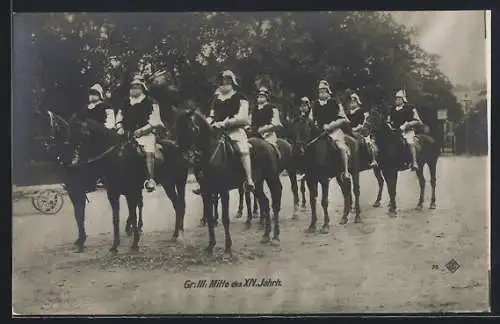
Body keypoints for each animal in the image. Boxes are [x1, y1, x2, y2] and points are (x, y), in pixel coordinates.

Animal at [176, 109, 286, 256]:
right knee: (265, 203)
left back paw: (275, 237)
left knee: (275, 203)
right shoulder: (206, 191)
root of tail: (269, 145)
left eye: (190, 127)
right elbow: (209, 217)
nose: (184, 156)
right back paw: (266, 236)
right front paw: (210, 245)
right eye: (176, 127)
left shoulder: (223, 191)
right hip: (257, 184)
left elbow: (225, 218)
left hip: (271, 178)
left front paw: (228, 248)